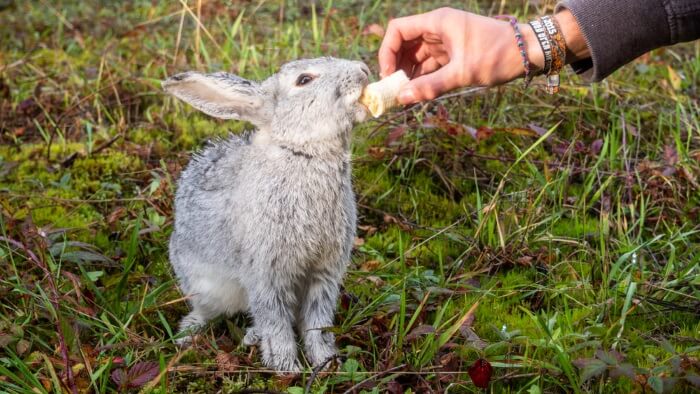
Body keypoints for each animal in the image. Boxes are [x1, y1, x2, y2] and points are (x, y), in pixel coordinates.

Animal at [163, 57, 372, 370]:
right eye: (304, 80)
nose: (363, 70)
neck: (300, 152)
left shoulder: (324, 274)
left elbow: (318, 320)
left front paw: (324, 361)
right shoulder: (266, 273)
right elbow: (274, 320)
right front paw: (287, 367)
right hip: (204, 286)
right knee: (207, 311)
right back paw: (189, 334)